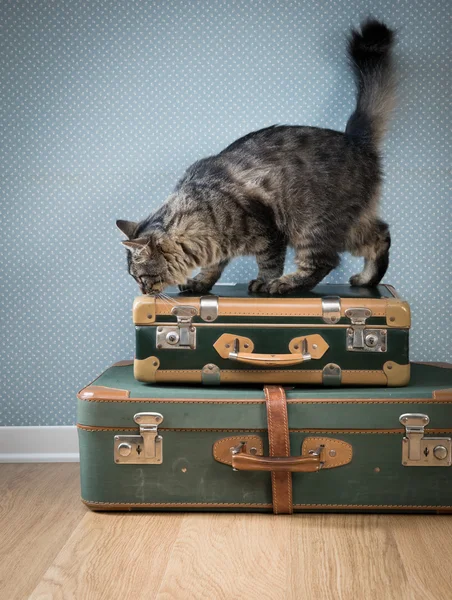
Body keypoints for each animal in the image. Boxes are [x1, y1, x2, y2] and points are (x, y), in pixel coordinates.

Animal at [116, 19, 396, 296]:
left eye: (140, 277)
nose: (142, 291)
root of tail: (355, 139)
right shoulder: (217, 248)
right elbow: (212, 268)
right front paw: (199, 283)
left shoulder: (270, 234)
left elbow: (269, 263)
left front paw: (264, 281)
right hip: (350, 226)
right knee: (381, 236)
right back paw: (367, 279)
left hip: (313, 226)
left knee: (323, 262)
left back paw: (285, 284)